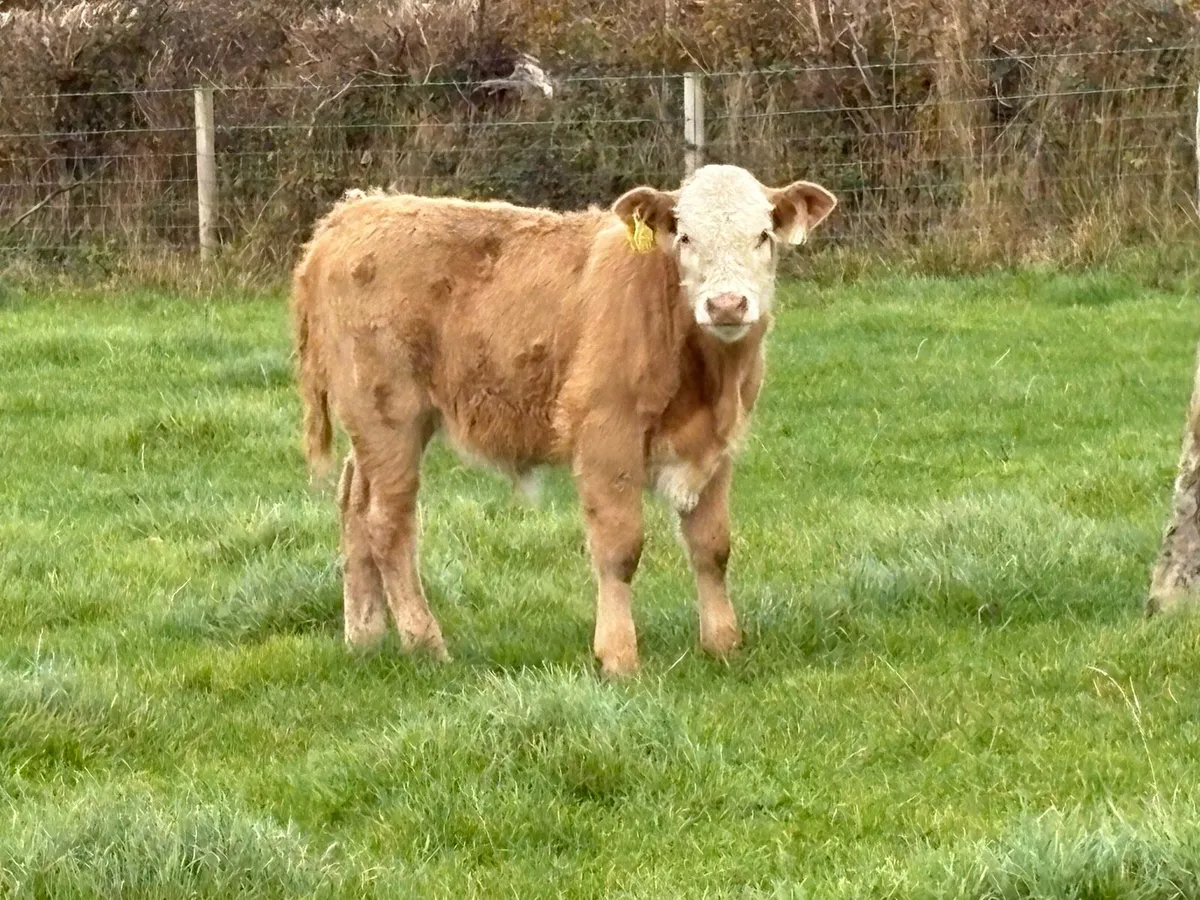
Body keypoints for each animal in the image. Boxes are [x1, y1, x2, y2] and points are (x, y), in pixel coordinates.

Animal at [291, 164, 837, 676]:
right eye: (686, 238)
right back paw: (425, 642)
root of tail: (353, 212)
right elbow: (619, 549)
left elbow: (712, 546)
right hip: (390, 417)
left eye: (762, 236)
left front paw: (722, 644)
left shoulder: (716, 449)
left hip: (376, 426)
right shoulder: (607, 437)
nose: (726, 304)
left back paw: (365, 636)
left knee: (354, 504)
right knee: (388, 522)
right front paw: (618, 656)